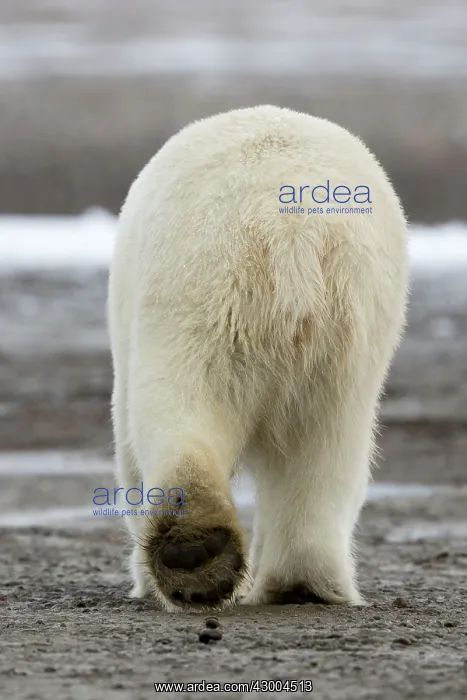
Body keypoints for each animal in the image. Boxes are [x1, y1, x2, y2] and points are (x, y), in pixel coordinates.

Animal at [108, 105, 408, 611]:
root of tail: (292, 232)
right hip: (350, 328)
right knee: (329, 444)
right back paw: (292, 581)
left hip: (199, 298)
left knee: (177, 410)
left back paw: (192, 551)